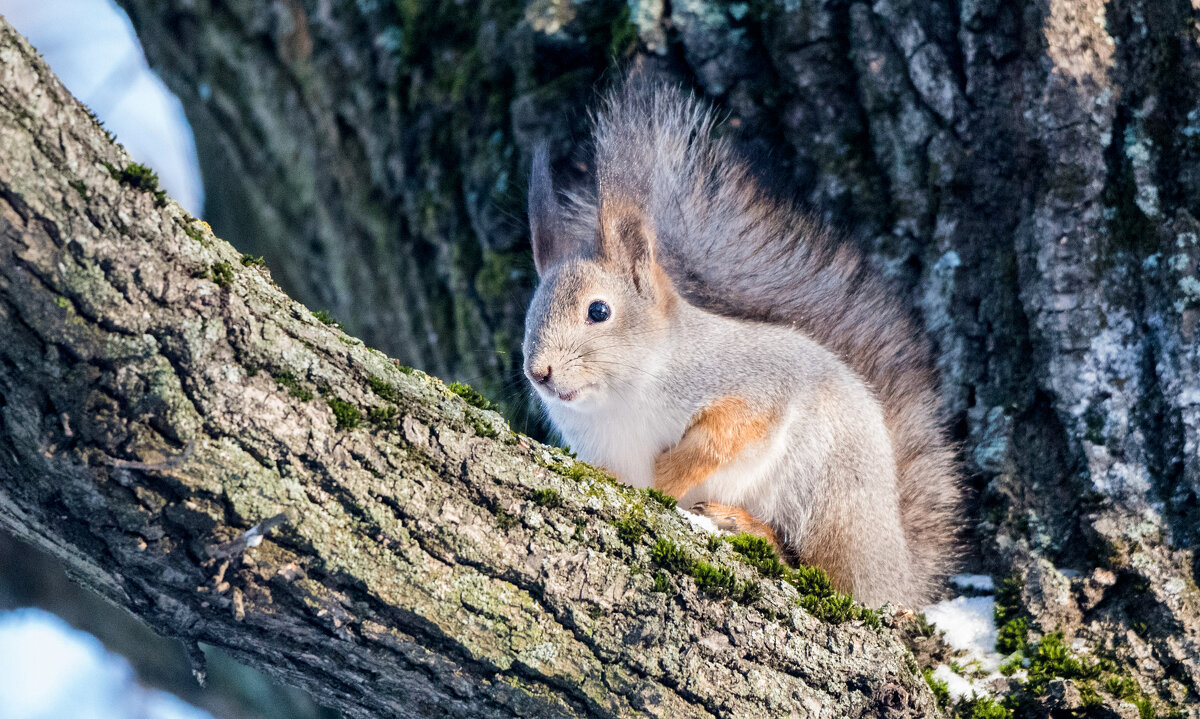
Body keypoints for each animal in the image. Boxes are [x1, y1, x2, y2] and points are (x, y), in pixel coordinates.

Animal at [520, 77, 960, 607]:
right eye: (528, 317)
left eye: (598, 311)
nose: (538, 372)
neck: (621, 399)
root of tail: (897, 576)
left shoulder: (756, 384)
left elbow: (727, 432)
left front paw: (667, 476)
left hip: (834, 499)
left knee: (827, 576)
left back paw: (747, 526)